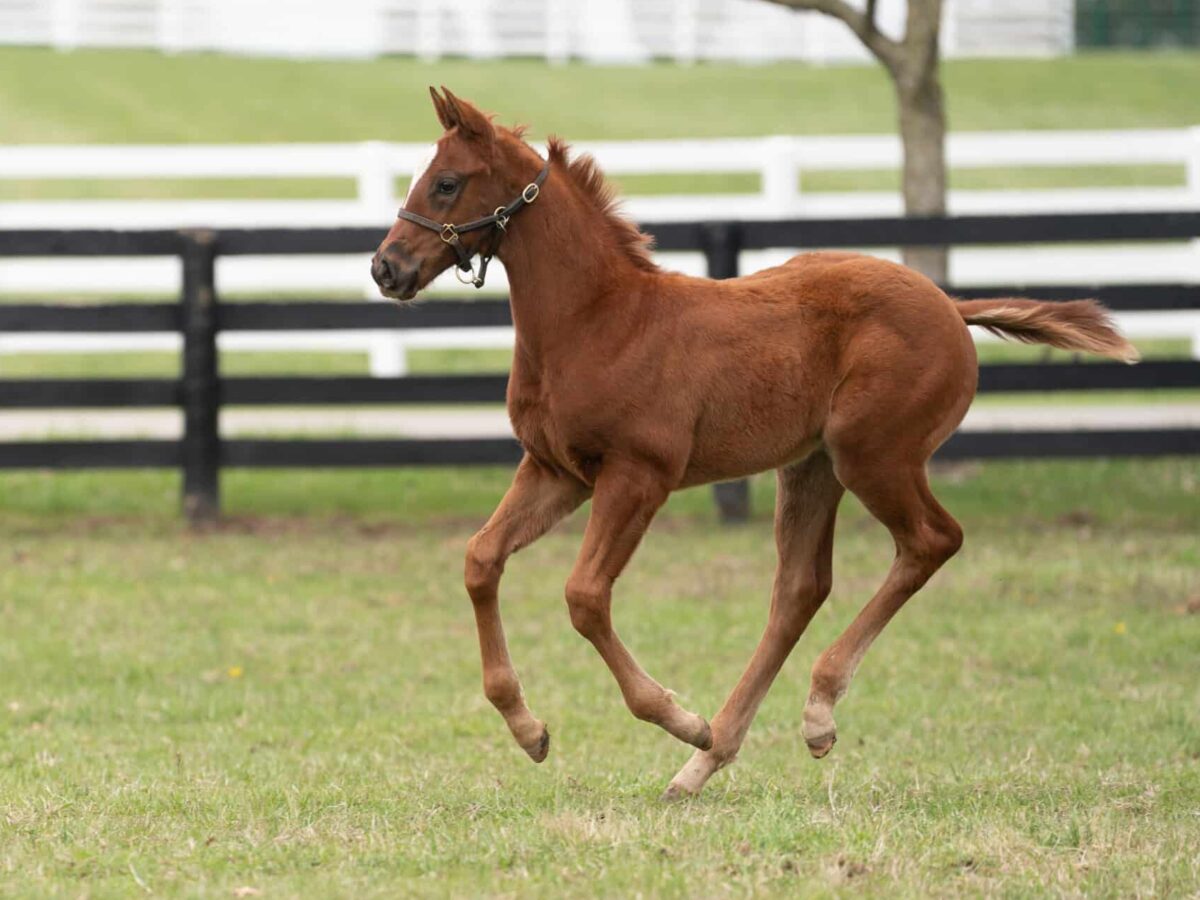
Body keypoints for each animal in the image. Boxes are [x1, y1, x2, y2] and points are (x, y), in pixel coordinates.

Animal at [369, 88, 1137, 801]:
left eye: (446, 182)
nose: (385, 268)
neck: (597, 320)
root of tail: (950, 305)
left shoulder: (638, 475)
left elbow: (584, 595)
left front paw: (677, 716)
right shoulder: (556, 471)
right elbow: (480, 560)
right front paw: (530, 731)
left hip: (873, 455)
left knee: (930, 541)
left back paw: (805, 714)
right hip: (811, 467)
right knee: (800, 588)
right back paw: (708, 761)